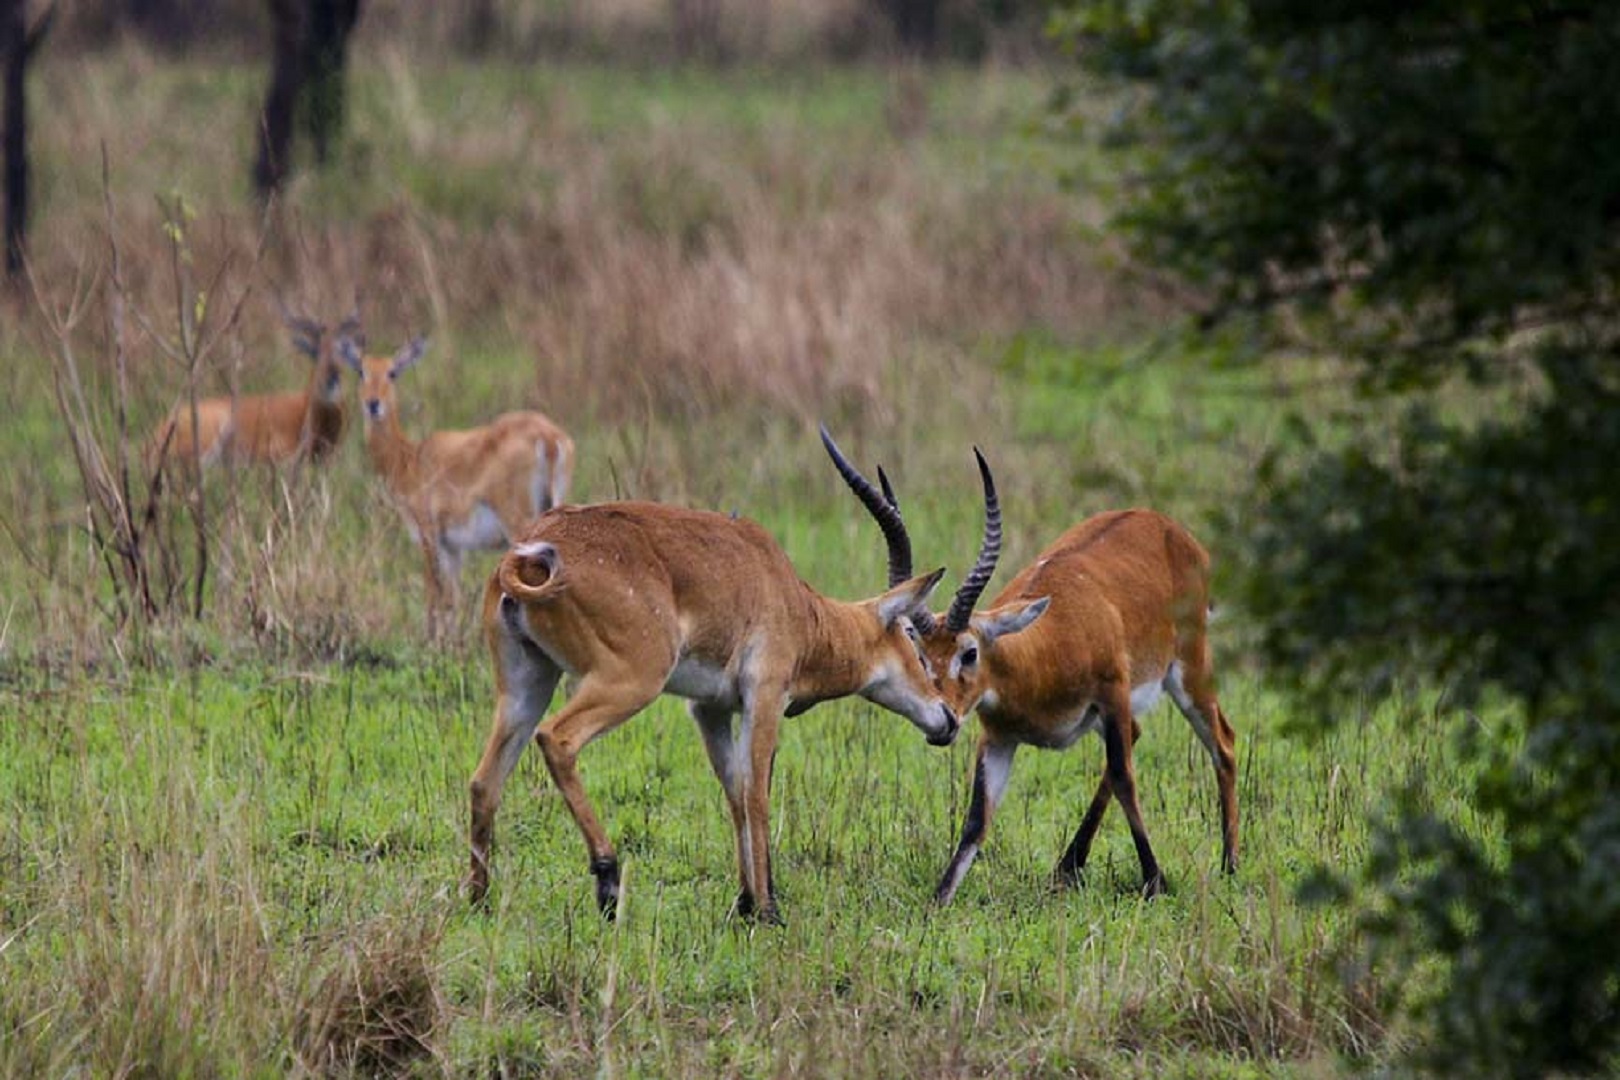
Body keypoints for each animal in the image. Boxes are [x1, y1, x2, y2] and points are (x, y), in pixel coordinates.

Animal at [335, 330, 576, 634]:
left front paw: (432, 639)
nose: (373, 403)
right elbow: (453, 598)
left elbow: (434, 593)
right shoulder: (454, 548)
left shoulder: (428, 535)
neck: (408, 459)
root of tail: (549, 437)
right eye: (361, 371)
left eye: (392, 372)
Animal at [463, 501, 952, 932]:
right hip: (630, 681)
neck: (794, 601)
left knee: (485, 779)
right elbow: (756, 795)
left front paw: (746, 902)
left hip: (527, 685)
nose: (947, 718)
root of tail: (529, 552)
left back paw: (479, 900)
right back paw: (608, 882)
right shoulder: (764, 697)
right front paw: (769, 911)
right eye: (913, 637)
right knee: (556, 738)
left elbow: (734, 792)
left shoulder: (709, 709)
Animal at [822, 430, 1237, 906]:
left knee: (1222, 742)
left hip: (1188, 669)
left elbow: (1124, 776)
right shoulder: (999, 738)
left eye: (969, 652)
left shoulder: (1113, 693)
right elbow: (977, 819)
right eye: (921, 657)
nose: (944, 723)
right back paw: (1067, 866)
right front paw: (938, 901)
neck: (1040, 654)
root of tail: (1173, 530)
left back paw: (1230, 865)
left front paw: (1156, 881)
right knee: (1140, 736)